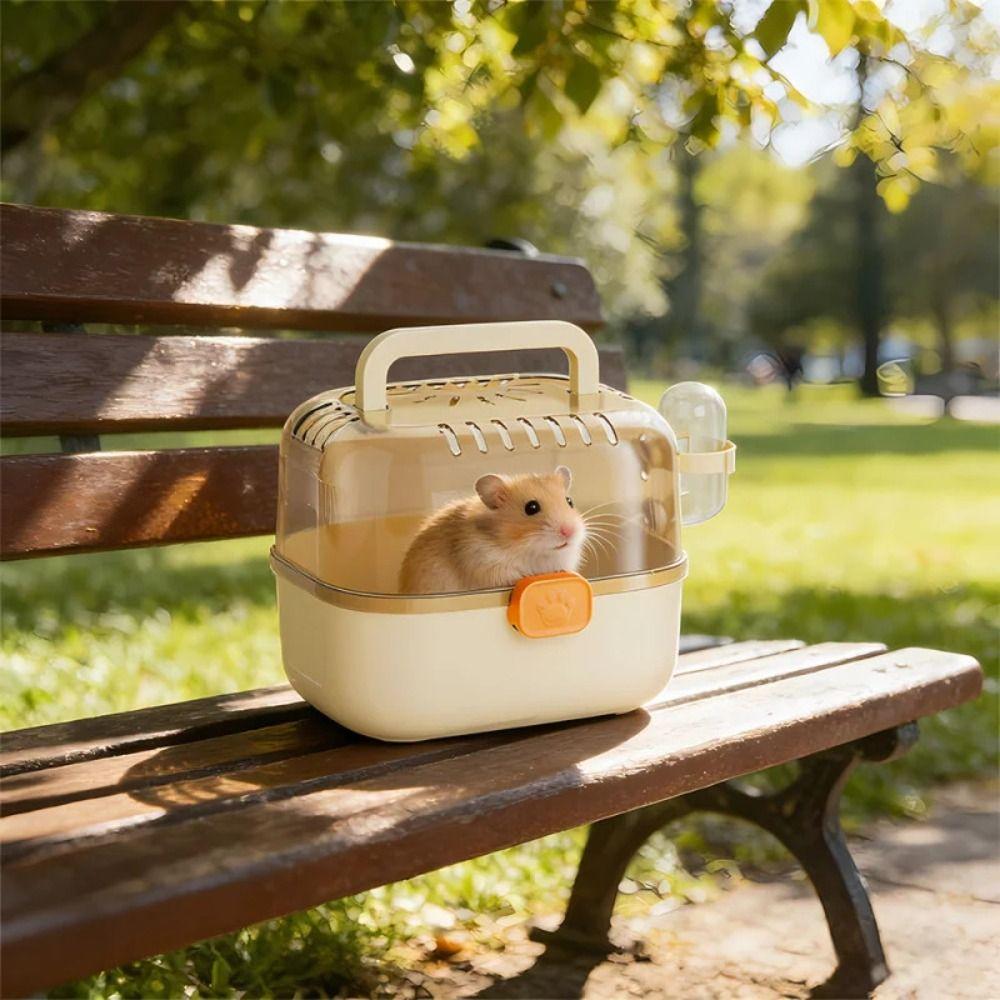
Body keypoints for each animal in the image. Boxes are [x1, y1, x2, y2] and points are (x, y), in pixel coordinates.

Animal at [399, 466, 586, 594]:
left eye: (569, 501)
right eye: (531, 508)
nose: (569, 532)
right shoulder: (484, 563)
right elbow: (514, 576)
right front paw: (526, 577)